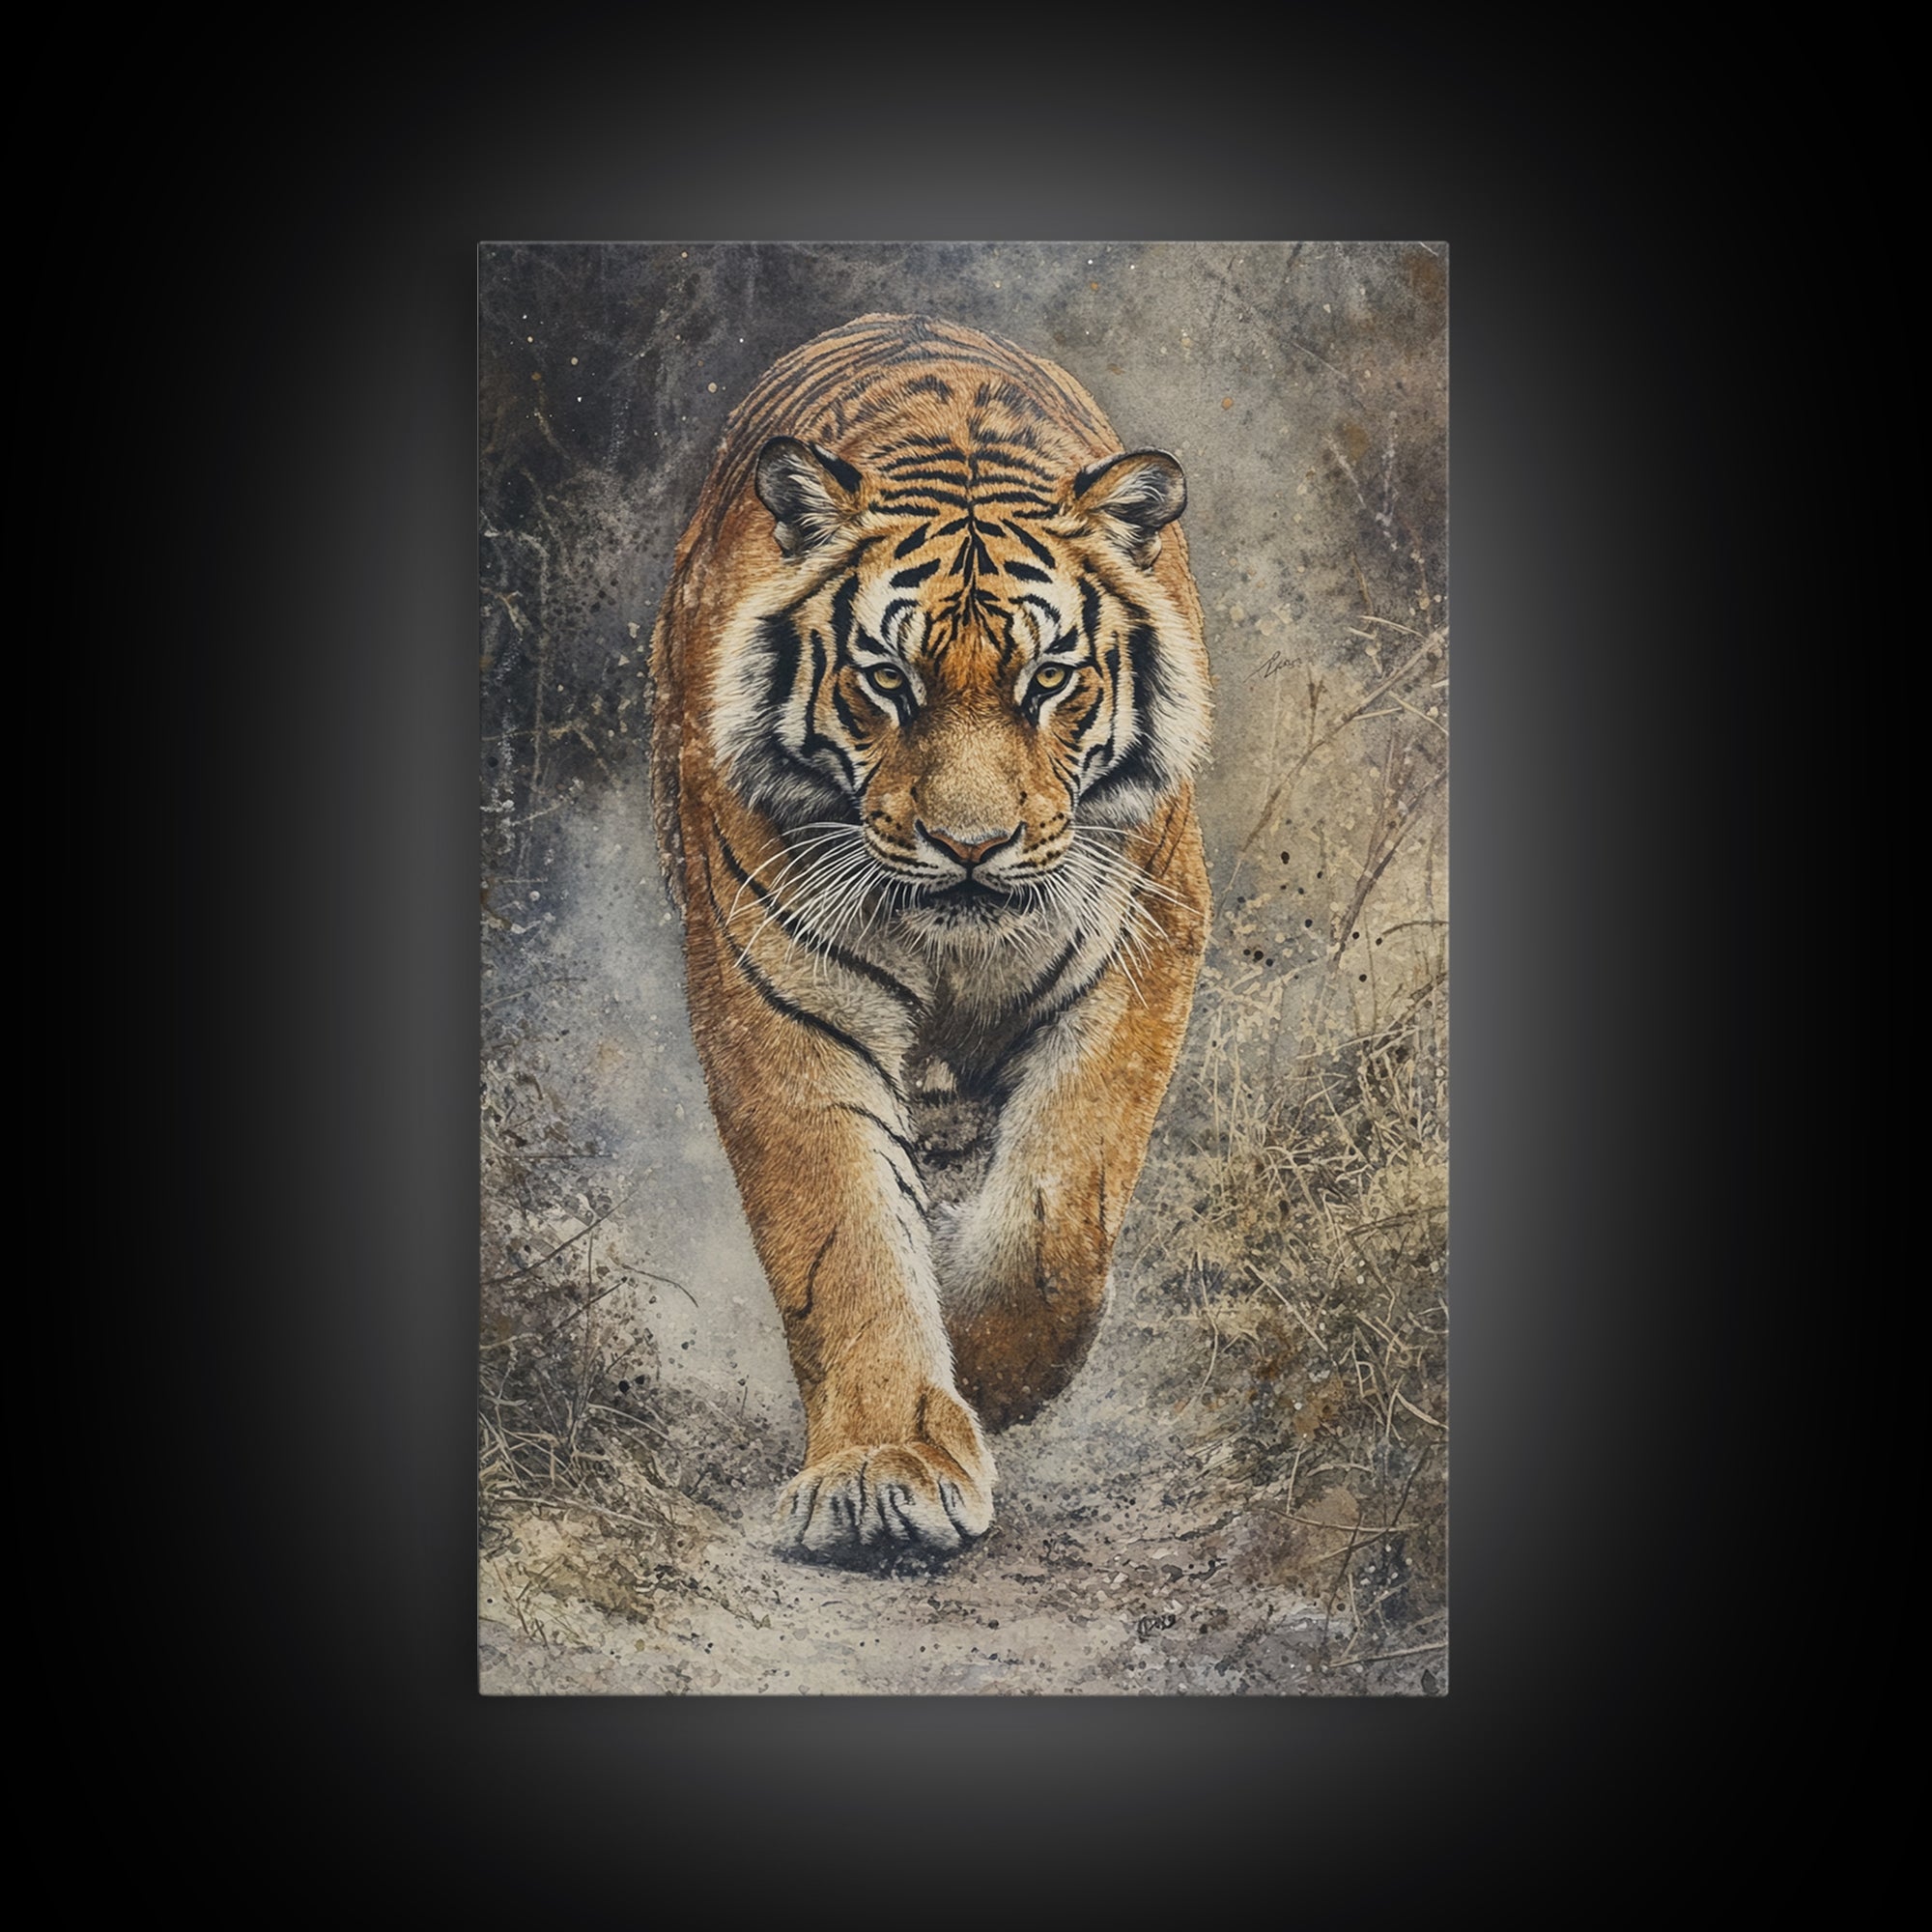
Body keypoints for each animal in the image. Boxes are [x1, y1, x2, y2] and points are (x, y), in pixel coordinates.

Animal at [648, 313, 1211, 1561]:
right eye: (886, 679)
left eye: (1047, 678)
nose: (969, 843)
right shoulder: (781, 997)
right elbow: (844, 1235)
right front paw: (881, 1468)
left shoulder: (1137, 952)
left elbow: (1054, 1213)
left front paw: (993, 1377)